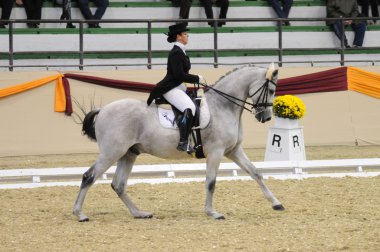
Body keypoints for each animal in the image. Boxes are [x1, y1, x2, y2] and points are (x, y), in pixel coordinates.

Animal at [72, 65, 284, 222]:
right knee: (89, 177)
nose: (265, 117)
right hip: (112, 152)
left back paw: (139, 213)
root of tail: (103, 109)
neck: (223, 107)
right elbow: (211, 182)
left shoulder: (233, 150)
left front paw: (276, 203)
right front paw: (212, 212)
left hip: (128, 153)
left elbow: (256, 173)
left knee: (118, 184)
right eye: (271, 90)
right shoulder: (216, 152)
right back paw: (79, 214)